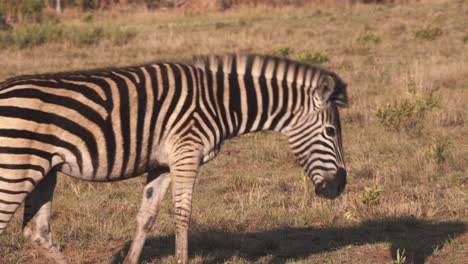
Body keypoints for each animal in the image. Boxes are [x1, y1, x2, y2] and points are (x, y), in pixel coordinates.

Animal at [0, 54, 348, 264]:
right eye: (330, 131)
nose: (339, 188)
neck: (221, 101)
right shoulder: (186, 154)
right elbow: (183, 215)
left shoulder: (162, 164)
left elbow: (146, 216)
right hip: (15, 169)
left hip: (44, 170)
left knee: (37, 230)